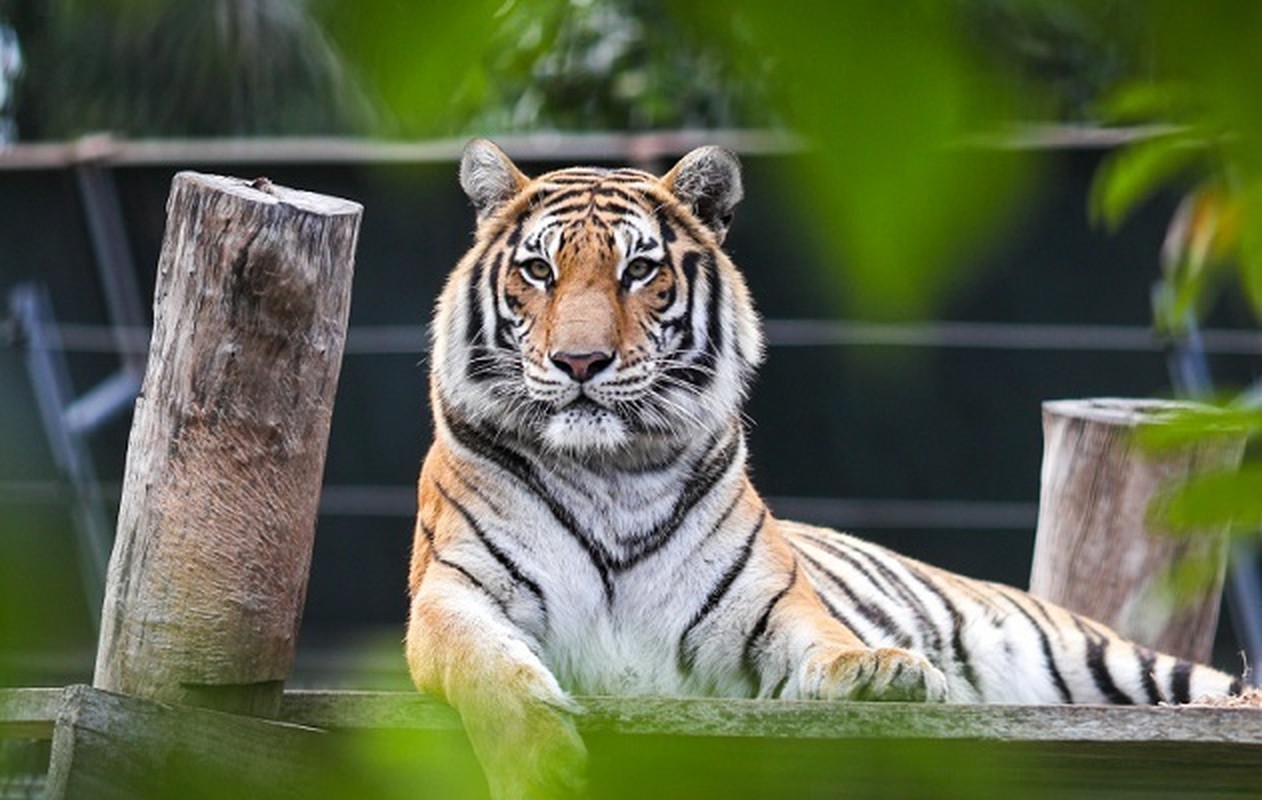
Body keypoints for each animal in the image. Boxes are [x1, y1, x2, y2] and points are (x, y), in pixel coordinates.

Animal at [403, 138, 1241, 797]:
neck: (611, 472)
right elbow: (492, 671)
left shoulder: (763, 612)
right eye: (538, 271)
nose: (580, 362)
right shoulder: (453, 595)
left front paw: (884, 672)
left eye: (639, 270)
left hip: (1106, 658)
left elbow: (826, 639)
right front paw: (541, 769)